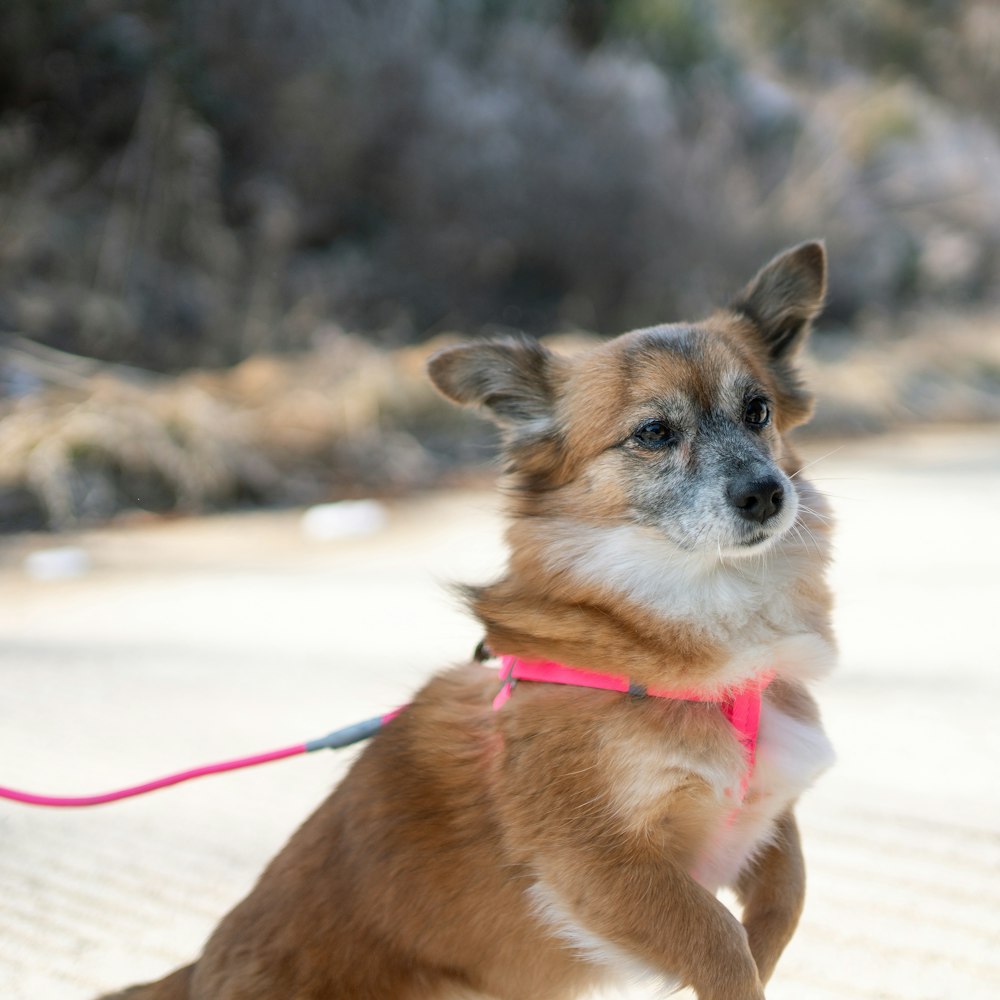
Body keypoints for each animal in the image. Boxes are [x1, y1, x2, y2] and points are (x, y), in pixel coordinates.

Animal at [103, 242, 836, 1000]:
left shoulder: (766, 814)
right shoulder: (593, 861)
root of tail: (193, 973)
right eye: (655, 433)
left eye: (758, 410)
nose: (766, 494)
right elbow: (722, 944)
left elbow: (785, 903)